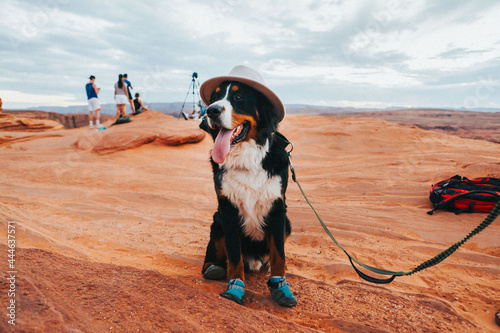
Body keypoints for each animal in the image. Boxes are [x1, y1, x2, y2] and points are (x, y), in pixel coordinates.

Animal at [197, 65, 294, 306]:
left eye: (239, 97)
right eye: (214, 98)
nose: (211, 111)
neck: (247, 159)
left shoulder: (277, 209)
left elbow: (279, 255)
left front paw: (281, 286)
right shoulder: (228, 210)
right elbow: (234, 256)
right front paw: (235, 288)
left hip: (288, 223)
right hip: (217, 221)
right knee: (213, 256)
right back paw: (213, 268)